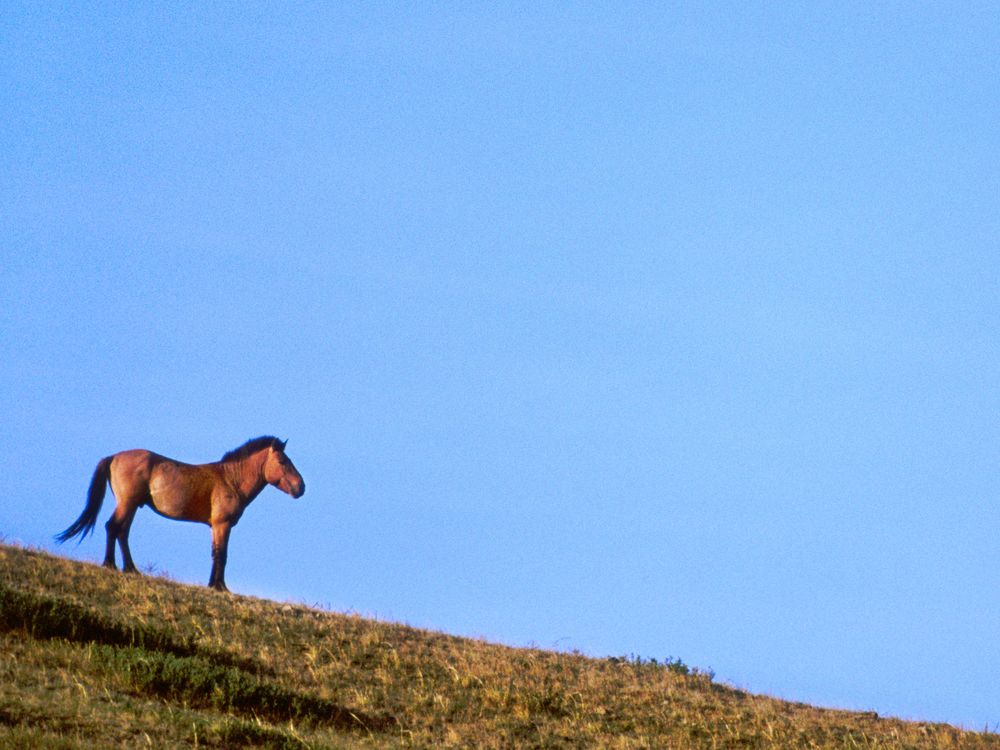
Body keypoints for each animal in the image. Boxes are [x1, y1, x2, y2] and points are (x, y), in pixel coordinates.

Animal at [54, 434, 302, 592]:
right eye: (282, 461)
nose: (301, 487)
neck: (230, 479)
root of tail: (113, 457)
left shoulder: (215, 526)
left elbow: (215, 552)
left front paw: (213, 585)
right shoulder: (222, 524)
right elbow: (221, 554)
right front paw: (220, 588)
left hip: (131, 506)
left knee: (122, 532)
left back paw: (131, 569)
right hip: (127, 503)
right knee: (113, 527)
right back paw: (111, 564)